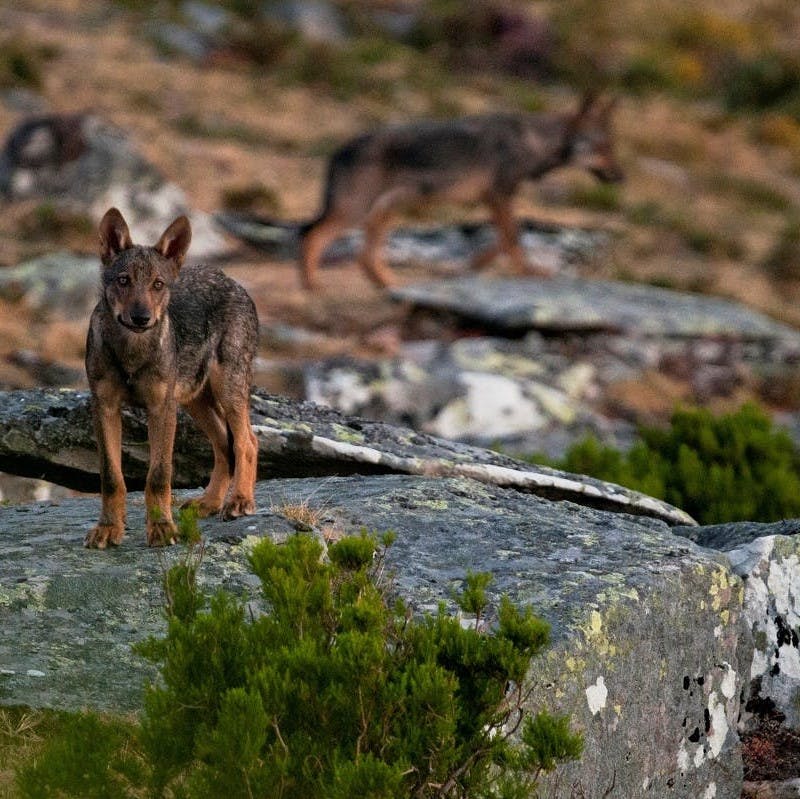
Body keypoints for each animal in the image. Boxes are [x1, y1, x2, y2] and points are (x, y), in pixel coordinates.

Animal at [84, 208, 260, 552]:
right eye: (123, 281)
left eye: (158, 284)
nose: (141, 318)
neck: (132, 353)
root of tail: (233, 281)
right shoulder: (105, 407)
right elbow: (111, 476)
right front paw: (109, 528)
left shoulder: (160, 409)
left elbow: (158, 475)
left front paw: (162, 529)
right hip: (194, 402)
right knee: (224, 446)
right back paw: (209, 502)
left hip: (227, 390)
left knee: (247, 441)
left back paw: (239, 501)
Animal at [300, 93, 624, 290]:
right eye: (602, 148)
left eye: (610, 147)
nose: (622, 177)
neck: (532, 141)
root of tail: (337, 151)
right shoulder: (499, 196)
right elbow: (513, 237)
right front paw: (530, 273)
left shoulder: (492, 199)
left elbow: (502, 241)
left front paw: (470, 266)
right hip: (356, 213)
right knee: (313, 236)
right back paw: (312, 286)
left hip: (385, 213)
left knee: (364, 257)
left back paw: (396, 288)